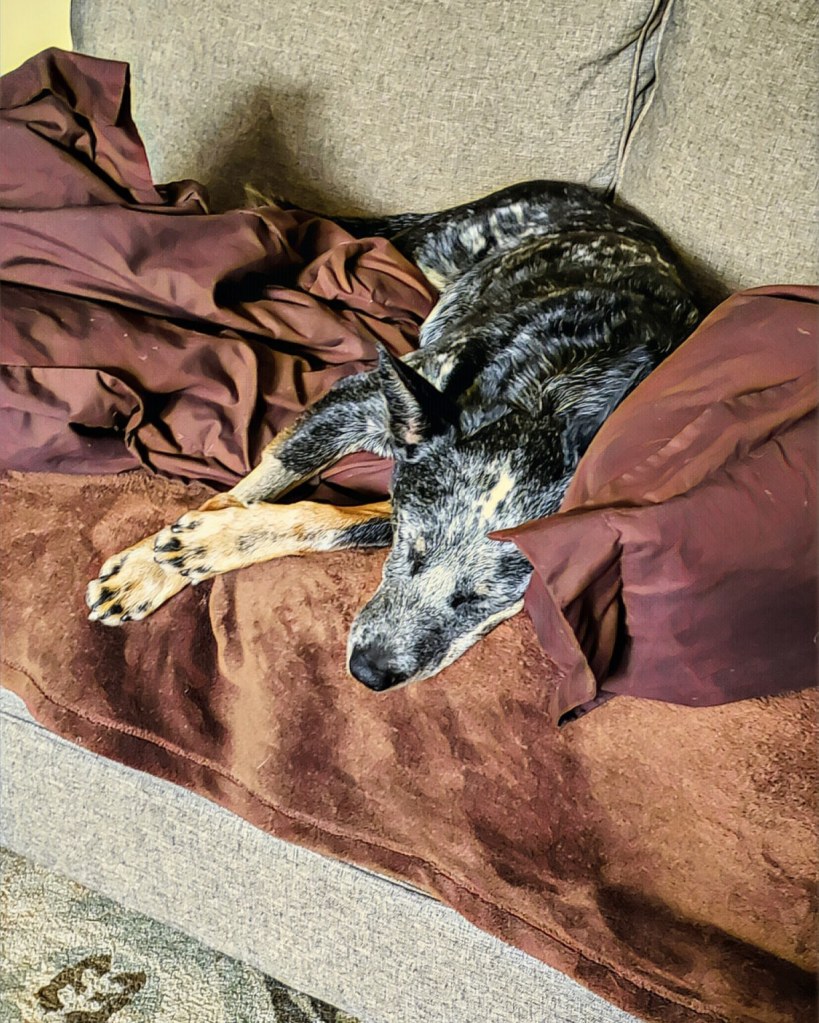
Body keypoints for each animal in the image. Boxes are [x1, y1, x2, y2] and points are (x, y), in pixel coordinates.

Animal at [86, 180, 699, 690]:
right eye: (412, 553)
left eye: (483, 600)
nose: (370, 673)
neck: (548, 395)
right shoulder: (357, 403)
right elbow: (257, 482)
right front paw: (150, 568)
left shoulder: (402, 487)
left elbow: (328, 520)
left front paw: (207, 545)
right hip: (431, 245)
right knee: (330, 232)